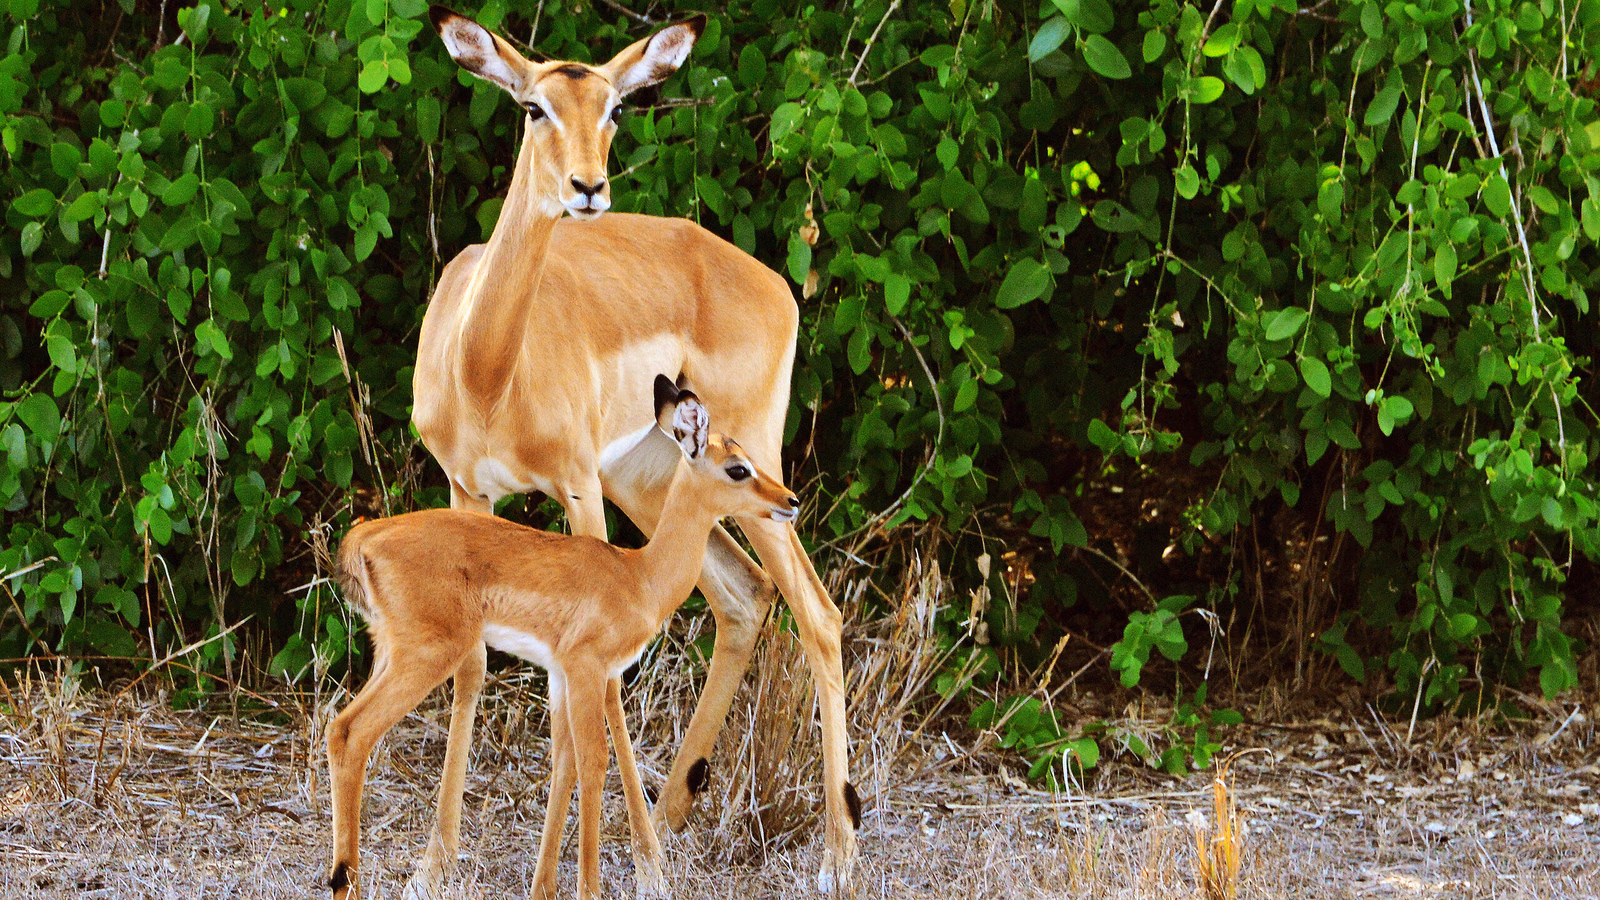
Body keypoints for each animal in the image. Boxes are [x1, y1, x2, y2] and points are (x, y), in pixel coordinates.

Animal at [327, 378, 801, 900]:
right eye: (738, 469)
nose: (790, 500)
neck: (638, 577)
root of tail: (366, 538)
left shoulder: (559, 675)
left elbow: (564, 764)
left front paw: (545, 888)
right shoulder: (586, 667)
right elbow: (594, 763)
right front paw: (590, 887)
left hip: (392, 652)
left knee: (337, 729)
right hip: (427, 654)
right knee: (352, 731)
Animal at [411, 6, 860, 892]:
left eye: (615, 107)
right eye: (533, 107)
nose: (588, 189)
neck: (486, 371)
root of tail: (770, 281)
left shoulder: (577, 489)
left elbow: (602, 686)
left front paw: (643, 869)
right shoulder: (466, 490)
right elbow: (476, 664)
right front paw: (433, 863)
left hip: (748, 471)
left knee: (818, 614)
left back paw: (834, 860)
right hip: (658, 477)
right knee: (743, 596)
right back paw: (674, 810)